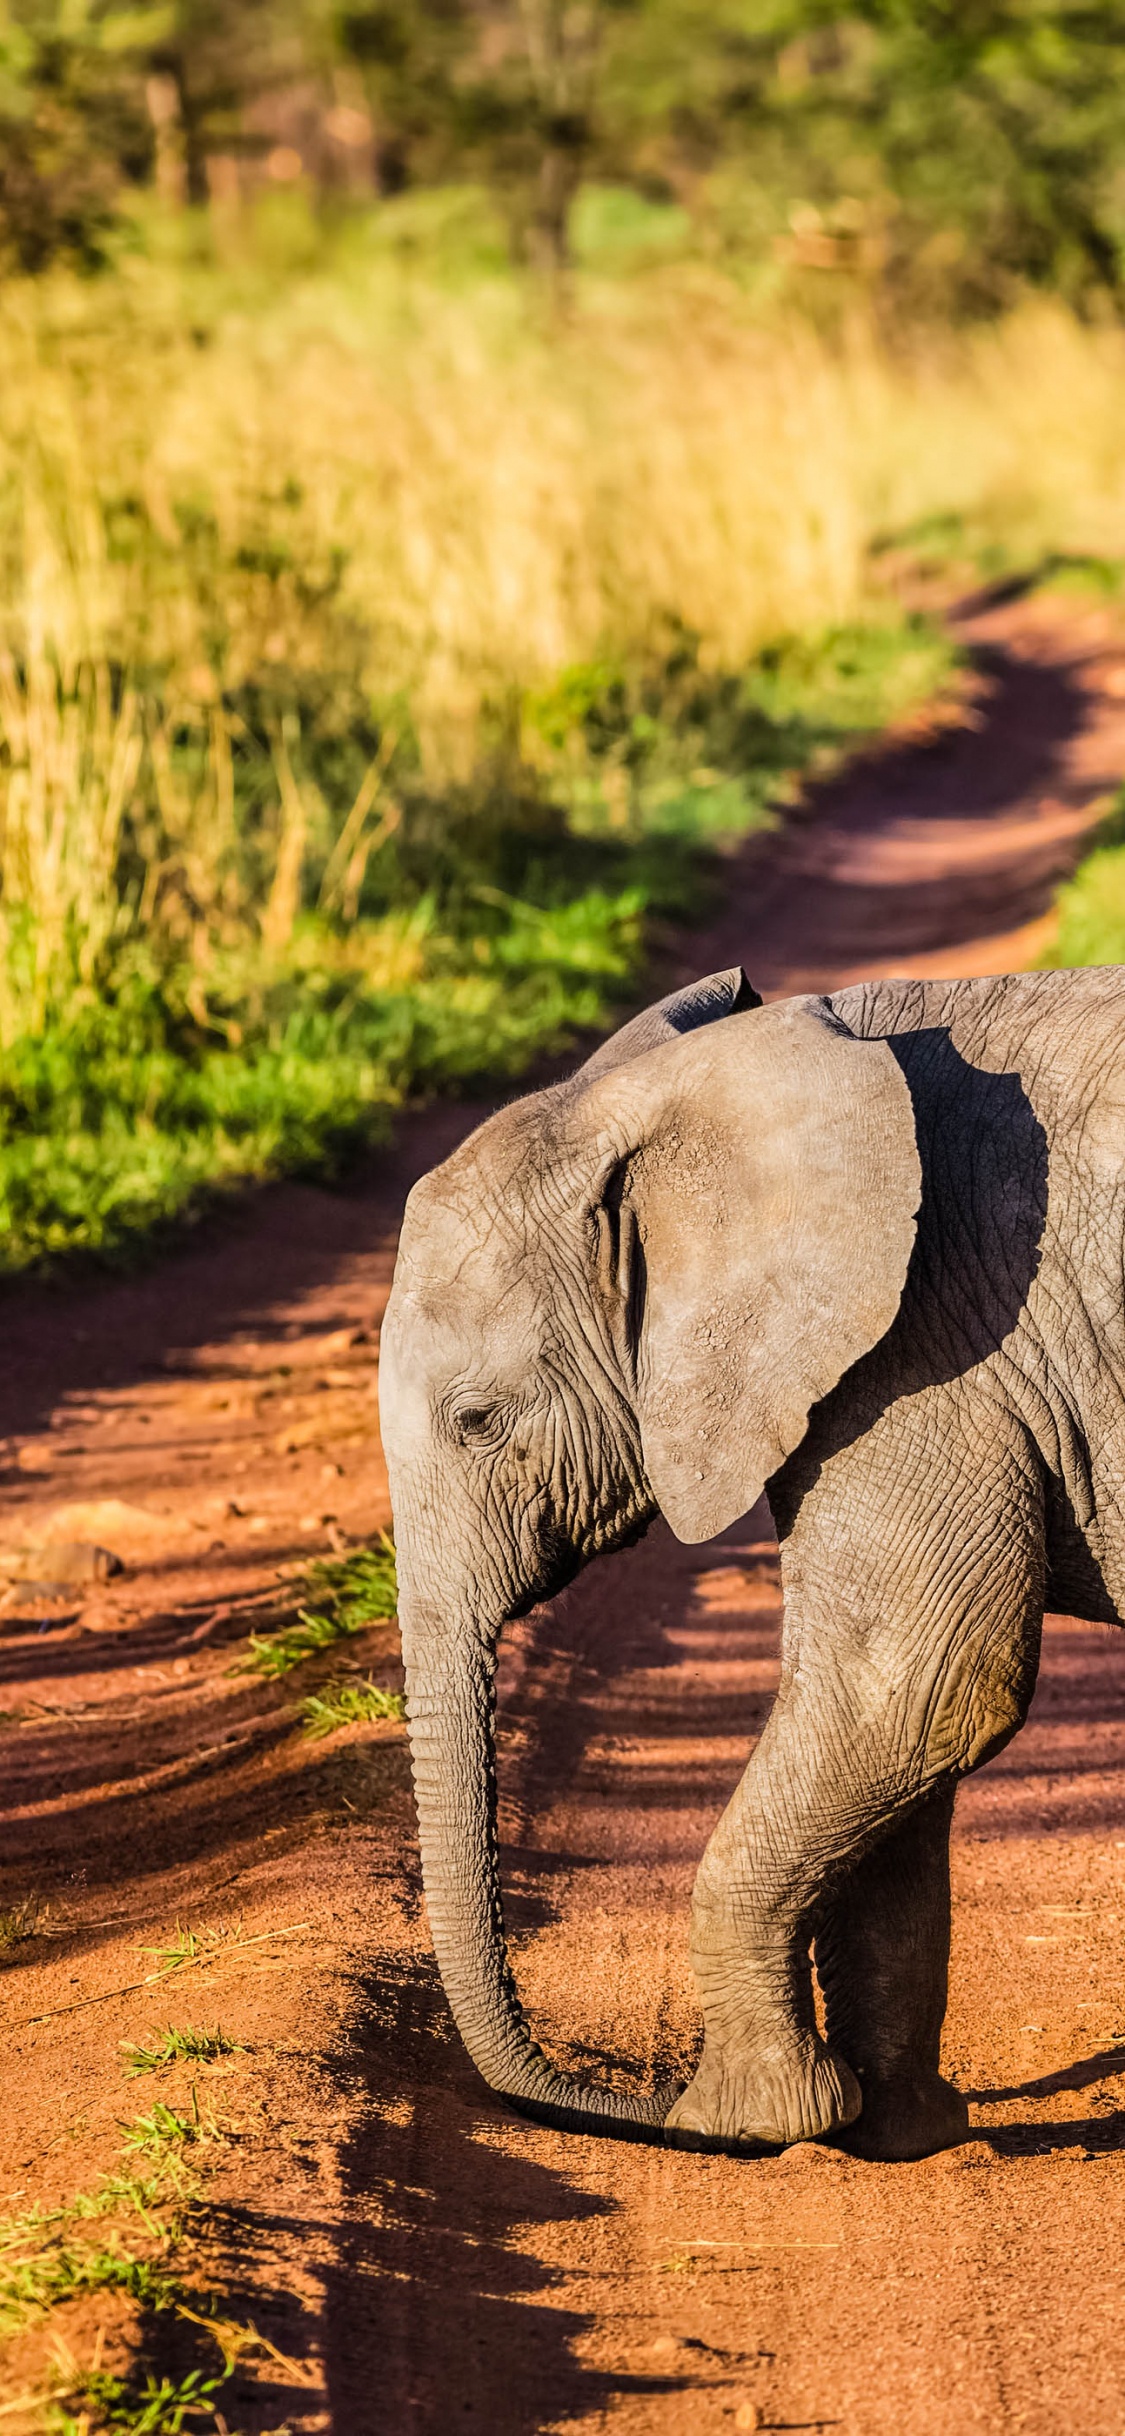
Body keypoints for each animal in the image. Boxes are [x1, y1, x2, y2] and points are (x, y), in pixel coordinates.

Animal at [379, 961, 1125, 2162]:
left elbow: (919, 1685)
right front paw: (888, 2132)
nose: (639, 2106)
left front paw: (742, 2118)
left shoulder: (929, 1347)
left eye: (477, 1422)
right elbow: (905, 1736)